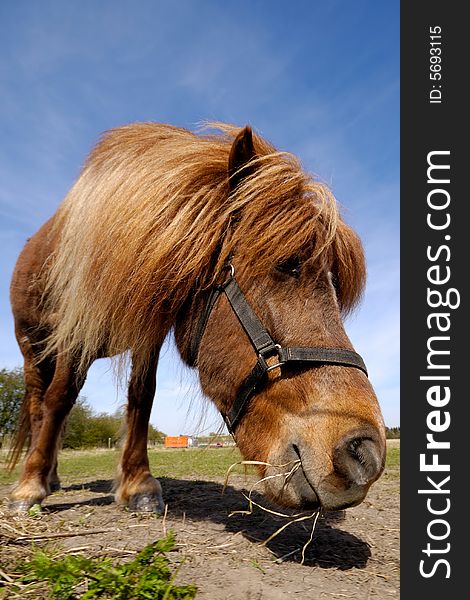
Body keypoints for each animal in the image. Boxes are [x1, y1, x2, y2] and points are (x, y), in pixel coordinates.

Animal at [10, 122, 386, 510]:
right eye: (287, 265)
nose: (366, 454)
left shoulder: (149, 332)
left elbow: (142, 396)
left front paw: (138, 483)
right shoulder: (75, 329)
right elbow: (60, 398)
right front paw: (30, 485)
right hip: (31, 348)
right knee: (40, 404)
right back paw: (40, 476)